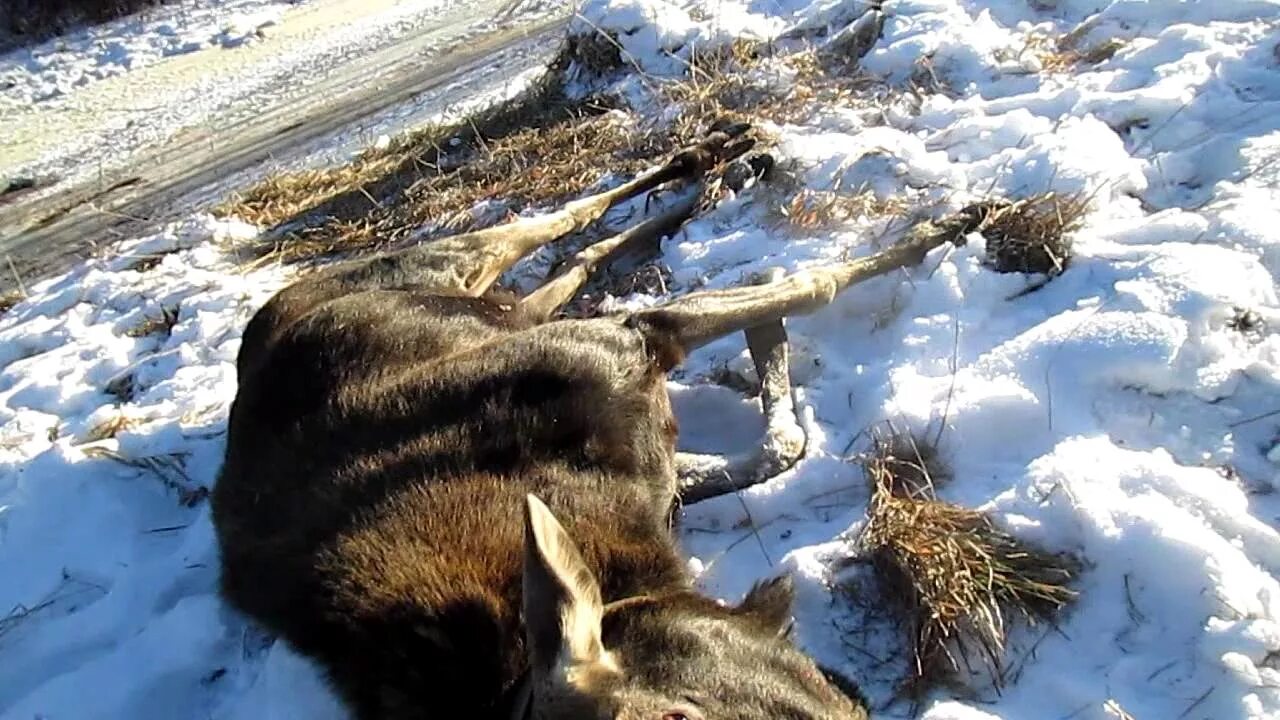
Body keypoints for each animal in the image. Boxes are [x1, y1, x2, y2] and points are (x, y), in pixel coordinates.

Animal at [215, 124, 947, 717]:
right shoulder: (638, 377)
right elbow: (781, 435)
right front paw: (773, 334)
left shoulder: (625, 345)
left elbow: (812, 288)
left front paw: (940, 229)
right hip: (504, 302)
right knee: (573, 259)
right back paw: (704, 187)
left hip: (456, 267)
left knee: (562, 222)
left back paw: (716, 157)